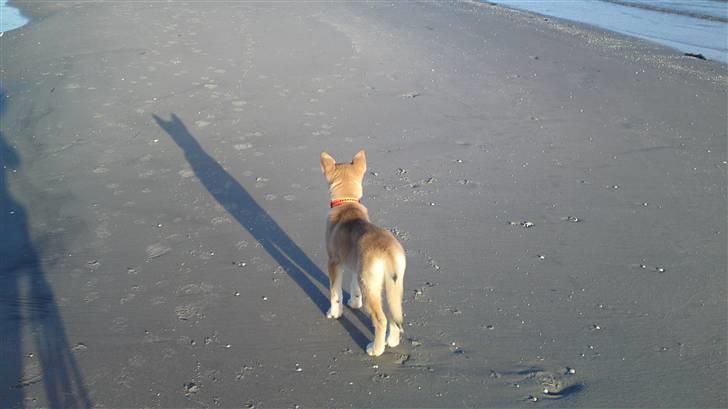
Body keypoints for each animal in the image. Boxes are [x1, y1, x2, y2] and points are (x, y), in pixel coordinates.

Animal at [322, 149, 406, 354]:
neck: (347, 203)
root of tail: (386, 248)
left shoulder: (334, 262)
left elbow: (335, 293)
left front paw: (334, 313)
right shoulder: (354, 266)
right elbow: (354, 288)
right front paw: (354, 303)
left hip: (370, 285)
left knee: (381, 320)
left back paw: (376, 349)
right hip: (392, 286)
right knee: (394, 316)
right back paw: (392, 341)